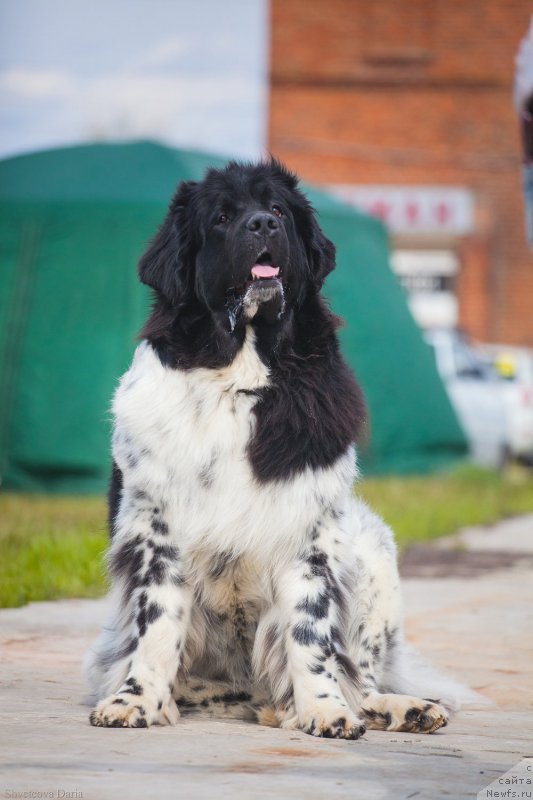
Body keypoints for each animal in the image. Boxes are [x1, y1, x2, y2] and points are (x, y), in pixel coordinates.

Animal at [85, 158, 464, 736]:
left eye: (279, 211)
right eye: (221, 217)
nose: (262, 225)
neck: (239, 374)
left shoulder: (310, 532)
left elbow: (310, 634)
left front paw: (324, 710)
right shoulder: (155, 529)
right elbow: (158, 623)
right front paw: (137, 701)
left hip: (374, 548)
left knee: (361, 676)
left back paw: (402, 707)